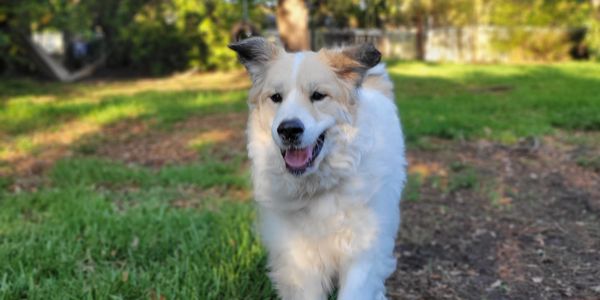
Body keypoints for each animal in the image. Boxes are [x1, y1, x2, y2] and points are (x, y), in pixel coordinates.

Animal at [230, 38, 408, 300]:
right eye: (276, 97)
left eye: (318, 96)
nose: (289, 130)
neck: (319, 186)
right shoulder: (299, 261)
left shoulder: (363, 251)